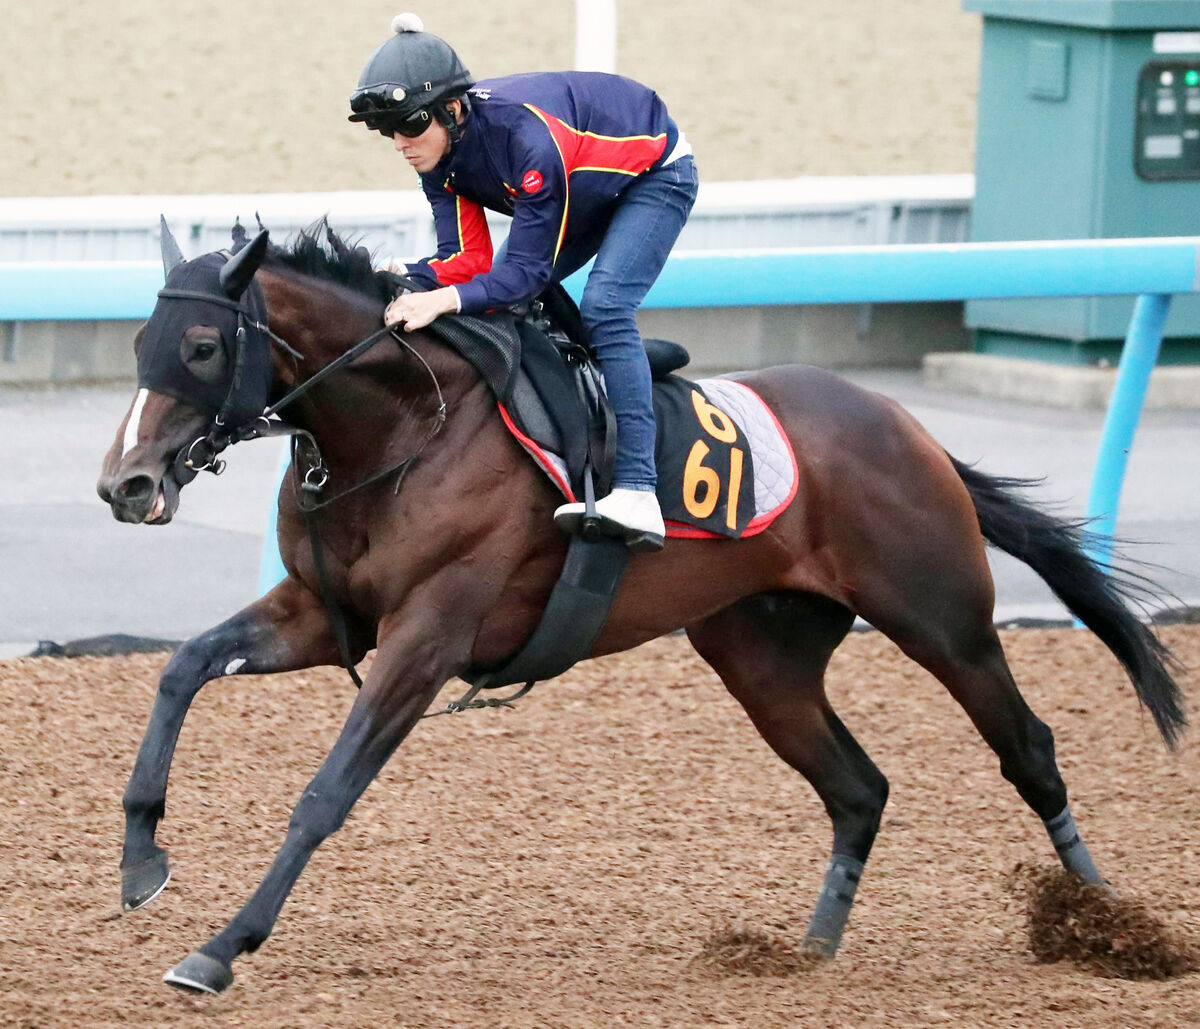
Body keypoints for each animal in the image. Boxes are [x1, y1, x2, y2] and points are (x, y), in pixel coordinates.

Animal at [93, 220, 1180, 988]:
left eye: (200, 345)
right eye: (140, 338)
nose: (125, 485)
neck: (404, 429)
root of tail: (906, 427)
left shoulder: (427, 638)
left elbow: (325, 795)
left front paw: (221, 947)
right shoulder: (325, 615)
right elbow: (182, 667)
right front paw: (142, 859)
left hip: (942, 620)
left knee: (1028, 750)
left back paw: (1111, 922)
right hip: (761, 655)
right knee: (859, 787)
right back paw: (808, 952)